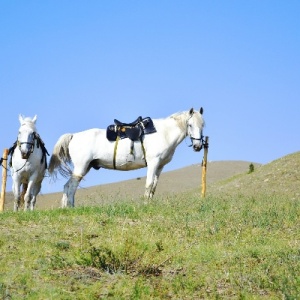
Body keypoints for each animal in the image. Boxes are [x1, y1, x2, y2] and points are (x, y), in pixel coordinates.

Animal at [48, 108, 204, 209]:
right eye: (190, 125)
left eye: (203, 125)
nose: (198, 146)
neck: (164, 133)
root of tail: (74, 135)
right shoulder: (153, 163)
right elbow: (148, 184)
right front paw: (145, 205)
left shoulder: (160, 166)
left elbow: (154, 186)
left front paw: (150, 203)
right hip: (81, 167)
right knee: (71, 186)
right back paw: (70, 207)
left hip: (86, 167)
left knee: (67, 186)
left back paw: (66, 207)